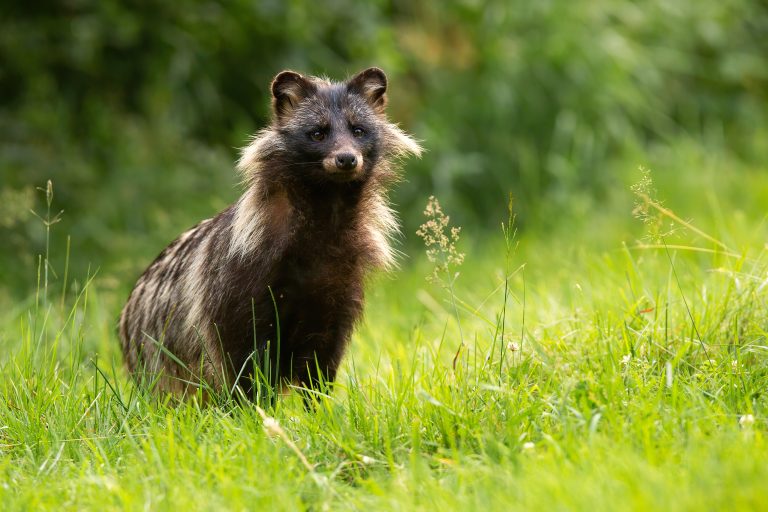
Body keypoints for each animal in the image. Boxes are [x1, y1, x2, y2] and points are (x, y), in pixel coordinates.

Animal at [118, 66, 424, 400]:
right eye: (318, 133)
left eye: (358, 130)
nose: (346, 159)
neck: (326, 212)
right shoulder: (238, 281)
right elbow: (240, 361)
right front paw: (251, 407)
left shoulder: (338, 290)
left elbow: (321, 364)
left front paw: (320, 405)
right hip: (155, 357)